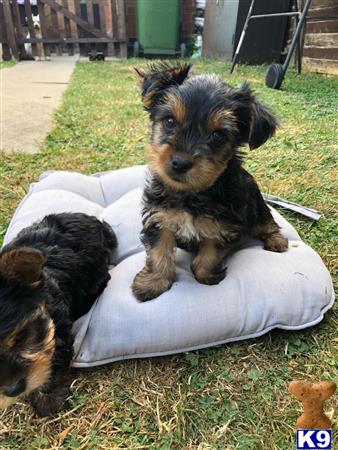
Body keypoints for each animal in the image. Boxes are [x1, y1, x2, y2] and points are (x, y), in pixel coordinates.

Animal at [132, 62, 288, 302]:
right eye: (169, 121)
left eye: (218, 135)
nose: (180, 162)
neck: (193, 192)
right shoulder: (160, 217)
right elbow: (159, 250)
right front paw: (153, 282)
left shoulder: (223, 224)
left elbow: (209, 253)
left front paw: (206, 275)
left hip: (257, 206)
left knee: (267, 223)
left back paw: (277, 241)